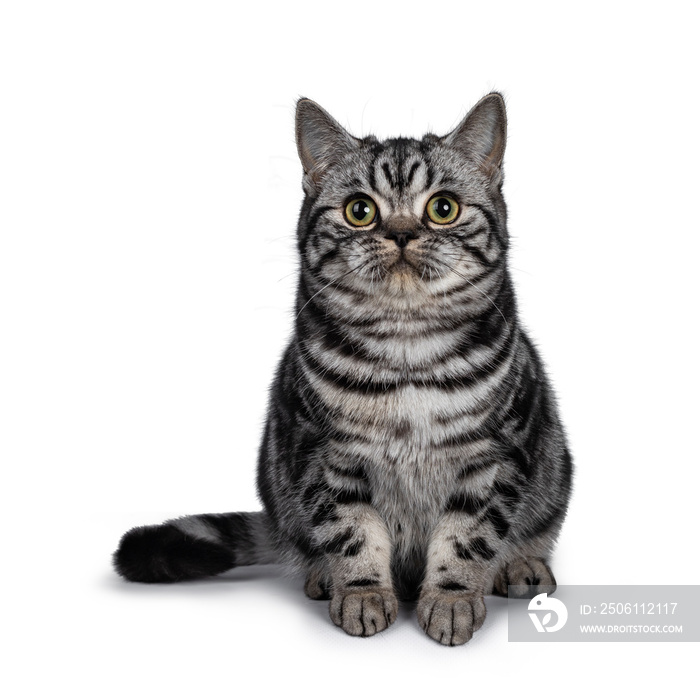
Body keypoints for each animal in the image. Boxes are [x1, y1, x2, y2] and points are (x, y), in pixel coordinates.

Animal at [115, 93, 576, 644]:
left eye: (443, 208)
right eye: (361, 211)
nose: (401, 233)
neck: (406, 352)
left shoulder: (493, 457)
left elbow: (466, 538)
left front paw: (451, 599)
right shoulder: (324, 456)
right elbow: (353, 532)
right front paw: (360, 593)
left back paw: (520, 565)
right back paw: (320, 575)